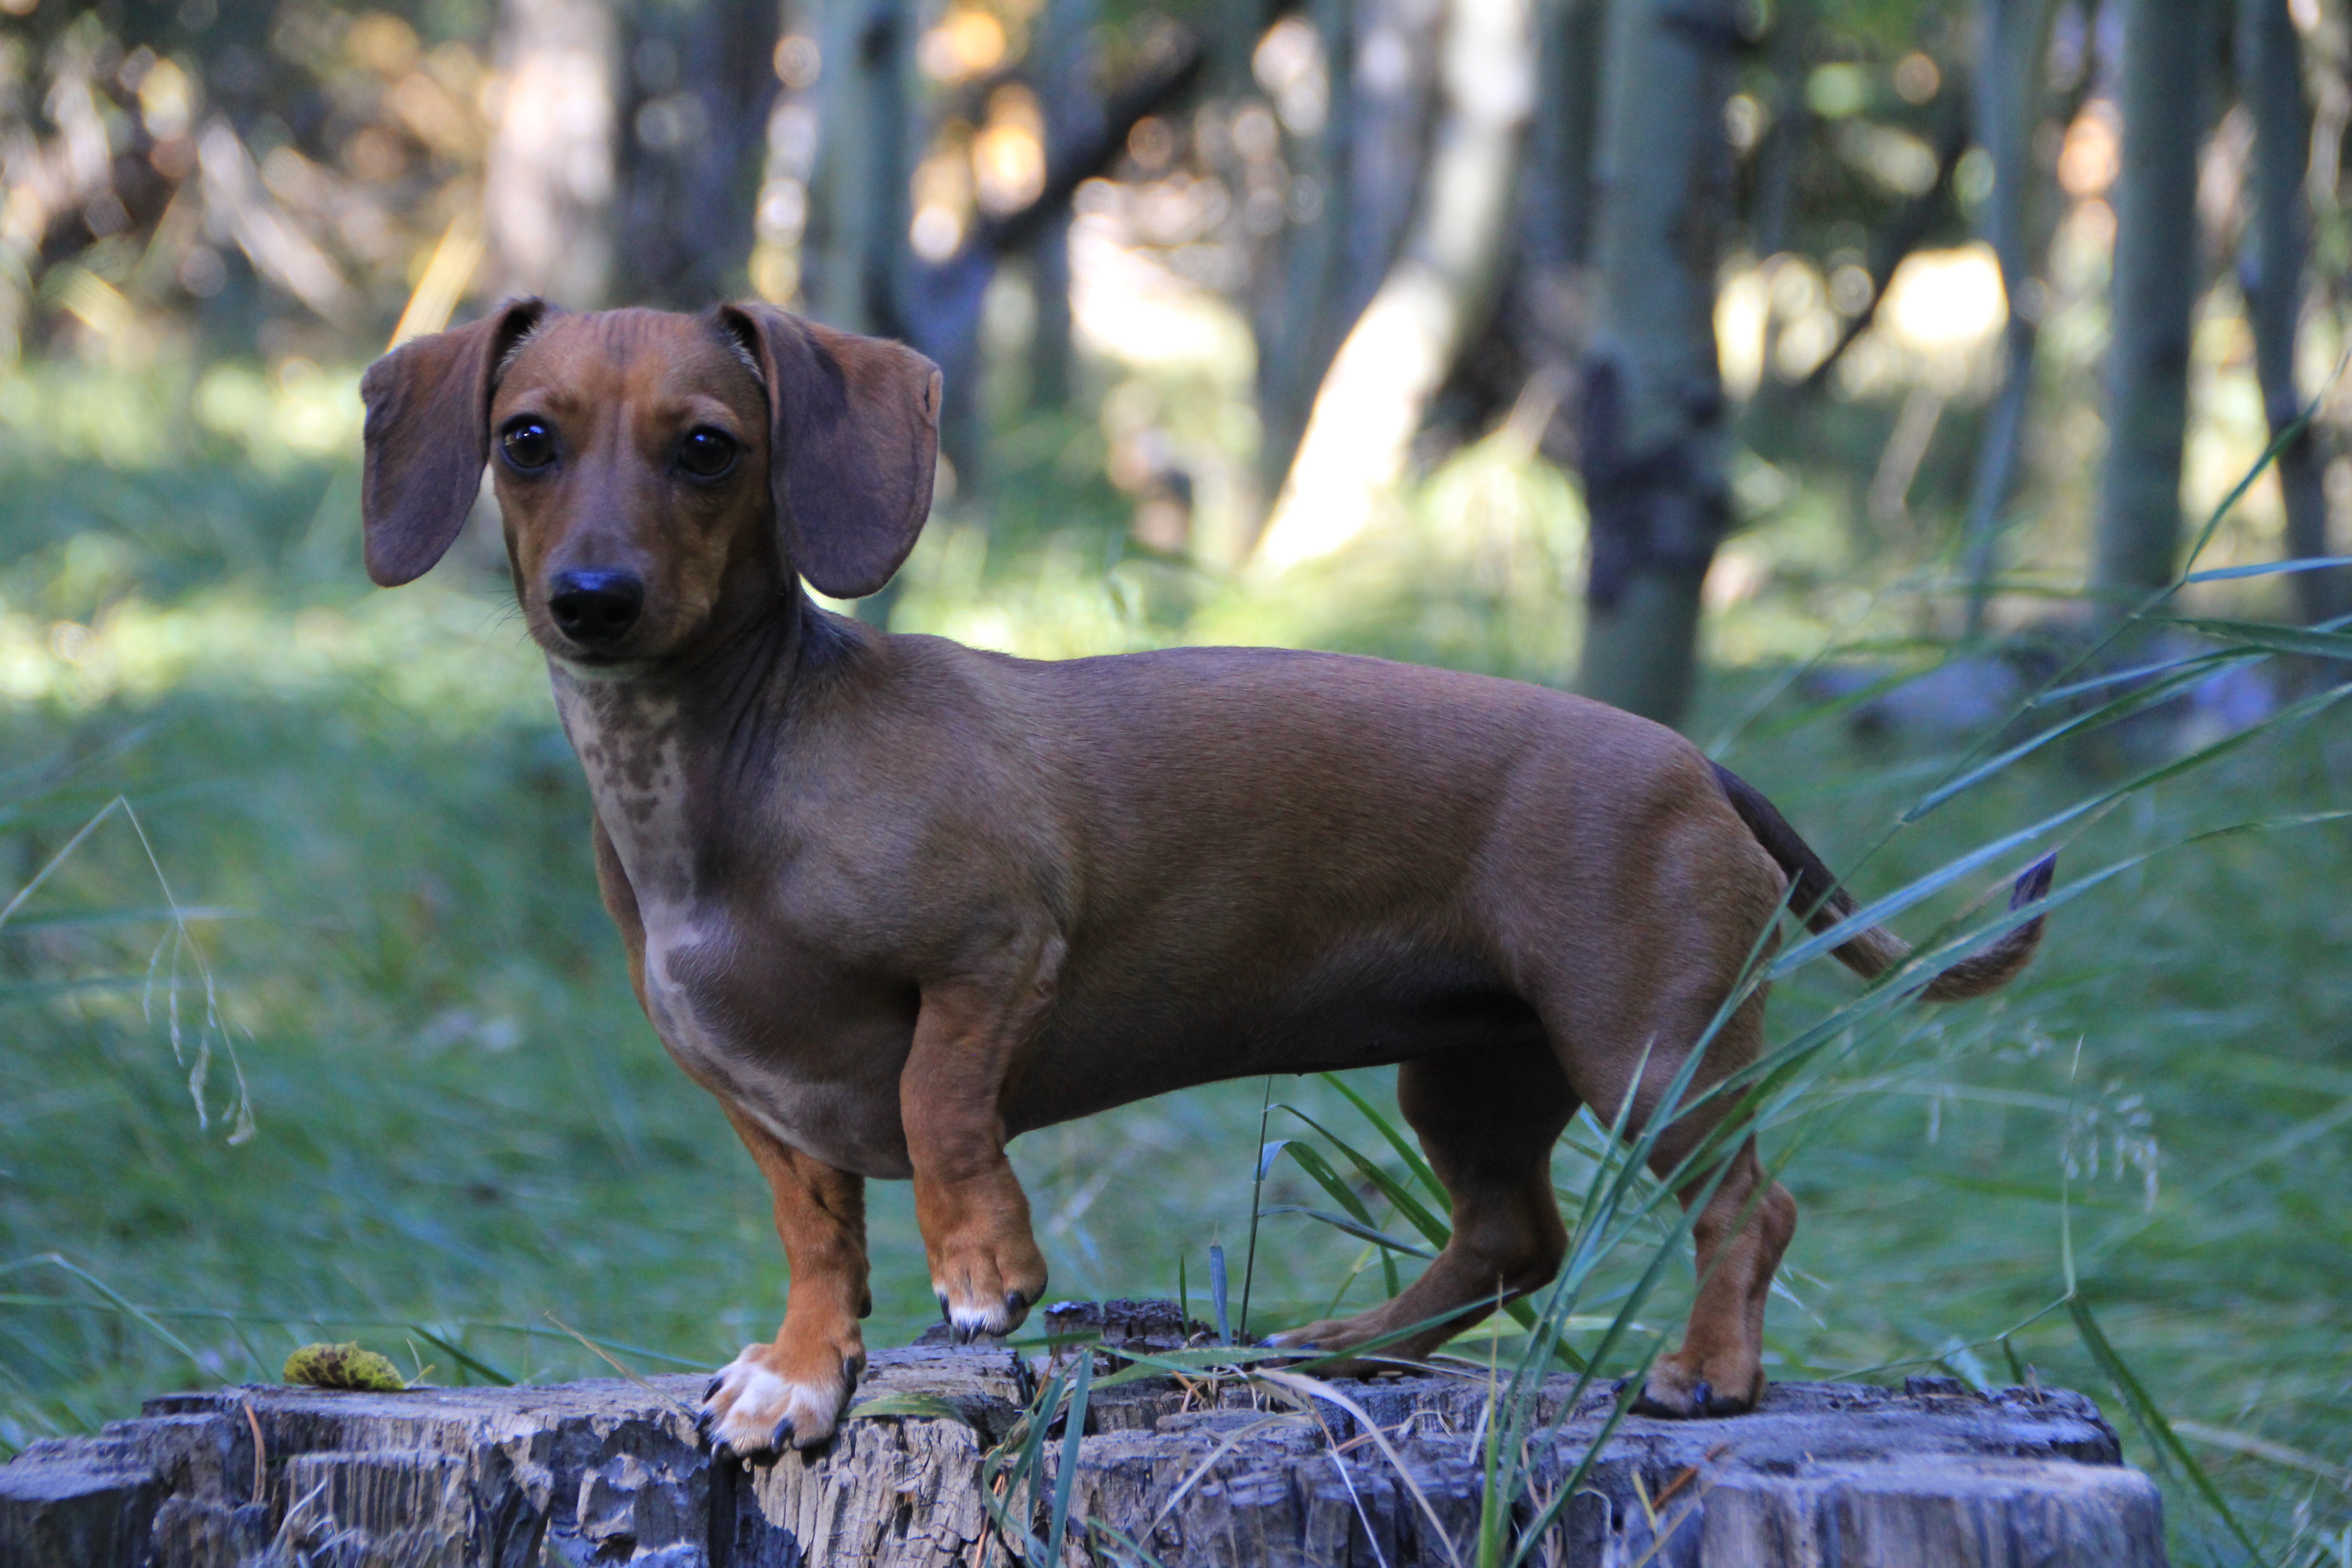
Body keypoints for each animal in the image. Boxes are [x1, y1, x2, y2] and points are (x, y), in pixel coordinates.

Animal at [357, 301, 2051, 1457]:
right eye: (526, 438)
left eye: (708, 444)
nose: (593, 600)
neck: (731, 762)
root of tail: (1694, 759)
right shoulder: (757, 1100)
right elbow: (815, 1233)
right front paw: (800, 1371)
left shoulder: (998, 953)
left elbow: (940, 1108)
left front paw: (986, 1269)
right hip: (1473, 1070)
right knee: (1515, 1238)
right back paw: (1354, 1345)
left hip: (1651, 1048)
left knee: (1748, 1210)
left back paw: (1707, 1371)